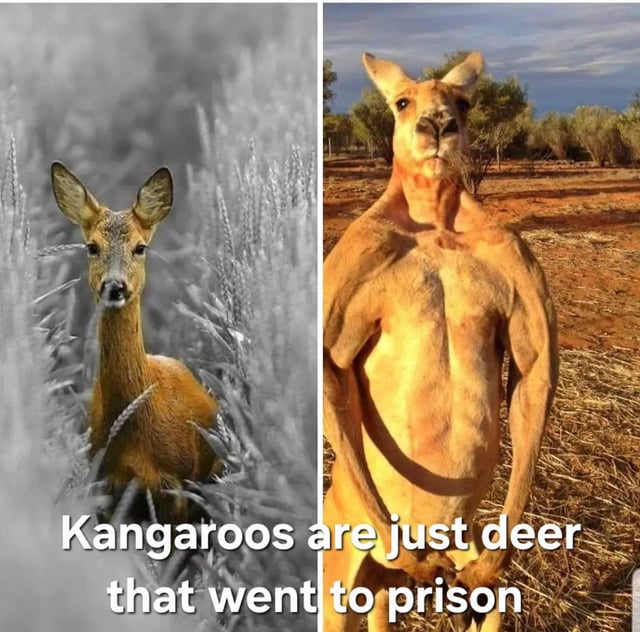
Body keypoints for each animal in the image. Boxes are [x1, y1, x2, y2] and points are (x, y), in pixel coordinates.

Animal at [323, 51, 559, 631]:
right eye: (403, 102)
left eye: (464, 103)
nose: (437, 126)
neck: (434, 220)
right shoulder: (353, 257)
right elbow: (332, 371)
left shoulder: (515, 258)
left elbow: (533, 371)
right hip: (341, 571)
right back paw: (410, 558)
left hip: (458, 563)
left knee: (480, 596)